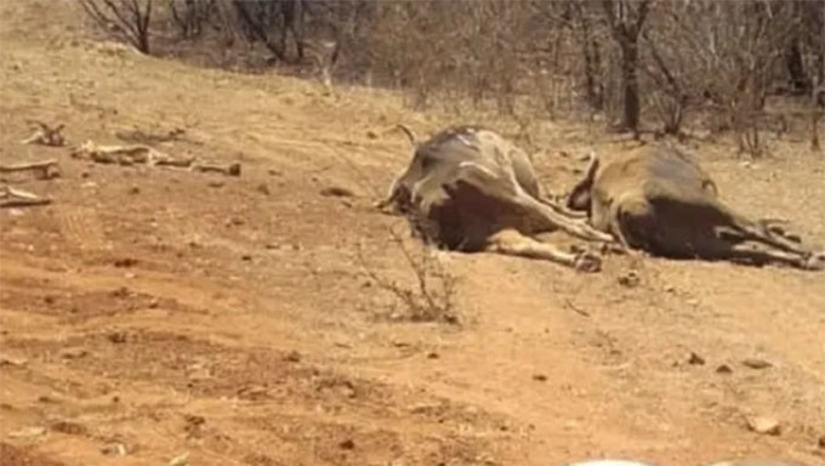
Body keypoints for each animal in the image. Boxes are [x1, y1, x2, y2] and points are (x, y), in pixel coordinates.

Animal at [376, 125, 615, 272]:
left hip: (494, 229)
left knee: (534, 241)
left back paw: (585, 259)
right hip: (508, 192)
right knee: (561, 221)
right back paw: (602, 240)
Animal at [565, 142, 824, 270]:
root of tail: (619, 210)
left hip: (700, 243)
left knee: (750, 247)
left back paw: (805, 260)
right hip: (709, 207)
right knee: (755, 231)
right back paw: (811, 255)